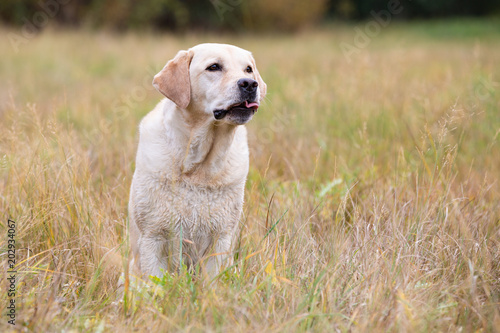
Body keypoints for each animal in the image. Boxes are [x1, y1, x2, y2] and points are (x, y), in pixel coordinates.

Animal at [129, 44, 268, 278]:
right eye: (214, 67)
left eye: (248, 69)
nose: (250, 84)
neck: (198, 167)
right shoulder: (152, 238)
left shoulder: (221, 239)